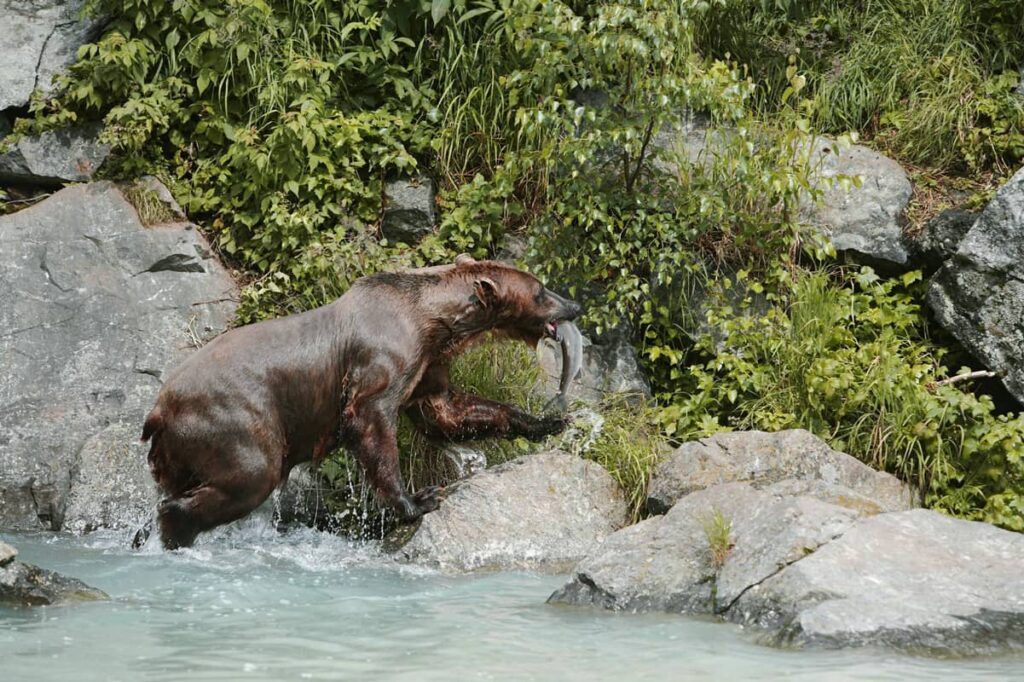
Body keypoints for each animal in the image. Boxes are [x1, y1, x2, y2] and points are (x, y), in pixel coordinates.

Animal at [140, 254, 582, 549]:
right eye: (541, 290)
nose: (575, 305)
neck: (432, 322)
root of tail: (159, 409)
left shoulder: (427, 364)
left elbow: (448, 411)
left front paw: (547, 421)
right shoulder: (384, 357)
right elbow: (371, 420)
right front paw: (419, 499)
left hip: (175, 452)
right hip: (232, 418)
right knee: (252, 473)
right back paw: (175, 529)